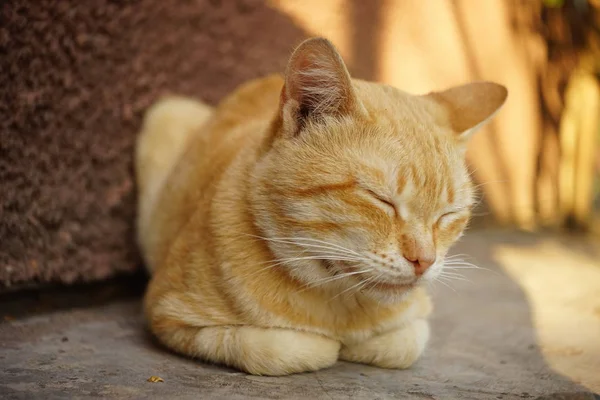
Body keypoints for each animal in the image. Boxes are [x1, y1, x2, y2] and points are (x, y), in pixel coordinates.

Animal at [136, 36, 506, 376]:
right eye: (380, 199)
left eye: (449, 214)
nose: (424, 261)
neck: (339, 305)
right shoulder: (168, 315)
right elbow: (279, 348)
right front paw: (326, 346)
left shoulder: (415, 319)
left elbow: (405, 343)